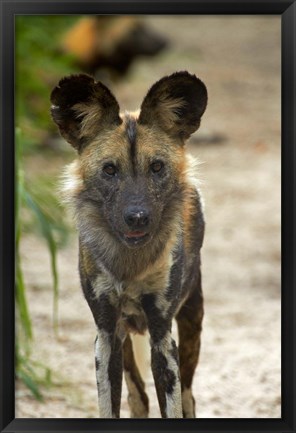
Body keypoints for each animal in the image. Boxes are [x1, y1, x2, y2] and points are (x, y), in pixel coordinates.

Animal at [51, 71, 207, 418]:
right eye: (110, 169)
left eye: (157, 167)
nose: (137, 218)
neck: (130, 265)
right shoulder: (107, 335)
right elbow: (109, 406)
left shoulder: (162, 337)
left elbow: (173, 407)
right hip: (123, 338)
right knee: (139, 397)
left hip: (191, 320)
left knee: (188, 396)